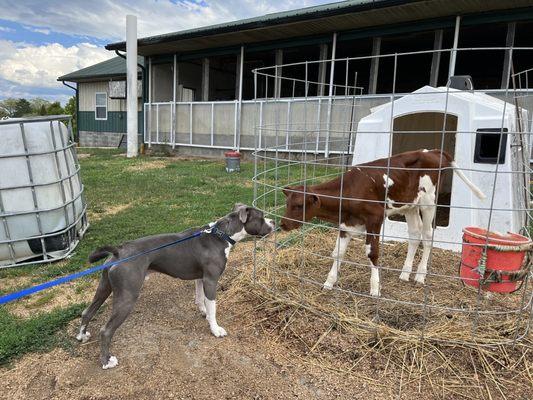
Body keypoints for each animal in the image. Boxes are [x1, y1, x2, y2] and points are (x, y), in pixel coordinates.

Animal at [76, 205, 274, 370]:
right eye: (261, 216)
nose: (273, 222)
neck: (221, 235)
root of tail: (119, 251)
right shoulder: (211, 280)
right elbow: (213, 307)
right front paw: (215, 329)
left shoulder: (201, 278)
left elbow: (200, 298)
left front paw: (203, 312)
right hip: (127, 297)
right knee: (105, 331)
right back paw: (106, 361)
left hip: (104, 287)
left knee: (87, 311)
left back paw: (82, 336)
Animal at [280, 148, 484, 296]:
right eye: (287, 203)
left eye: (299, 205)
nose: (283, 224)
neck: (350, 191)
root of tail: (431, 151)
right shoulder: (346, 224)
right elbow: (337, 253)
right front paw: (328, 283)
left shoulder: (375, 218)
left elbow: (372, 253)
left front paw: (375, 288)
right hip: (410, 205)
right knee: (414, 234)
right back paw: (405, 273)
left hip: (428, 201)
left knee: (427, 236)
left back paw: (420, 275)